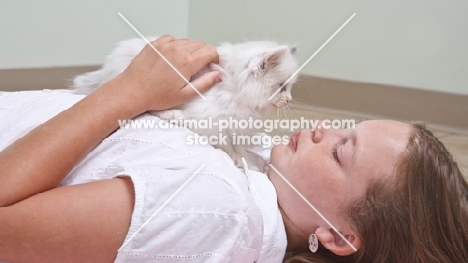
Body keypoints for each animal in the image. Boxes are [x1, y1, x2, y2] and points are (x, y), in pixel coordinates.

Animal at [74, 37, 300, 170]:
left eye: (289, 88)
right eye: (281, 87)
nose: (289, 99)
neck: (236, 89)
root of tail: (105, 73)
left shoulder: (237, 127)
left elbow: (239, 147)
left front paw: (248, 163)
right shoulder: (214, 122)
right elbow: (224, 144)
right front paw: (235, 159)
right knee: (151, 109)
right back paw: (174, 116)